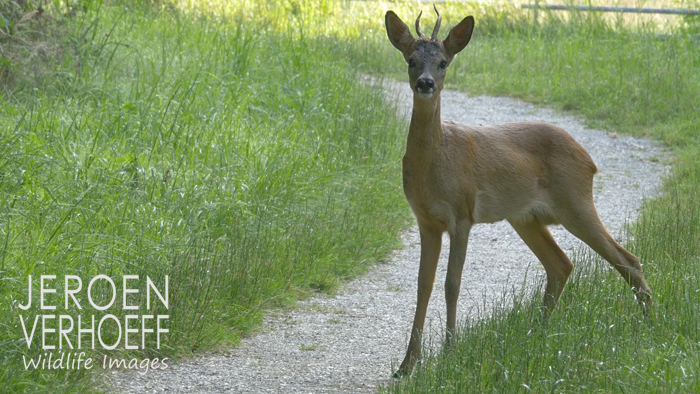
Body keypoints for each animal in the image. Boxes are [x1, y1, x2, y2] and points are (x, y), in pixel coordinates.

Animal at [386, 6, 652, 376]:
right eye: (411, 60)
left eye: (443, 62)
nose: (425, 83)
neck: (437, 162)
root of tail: (589, 159)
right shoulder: (426, 220)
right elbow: (423, 285)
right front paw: (406, 365)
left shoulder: (462, 214)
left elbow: (452, 284)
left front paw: (449, 355)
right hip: (525, 217)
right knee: (561, 264)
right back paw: (538, 332)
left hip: (575, 201)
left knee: (627, 259)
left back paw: (651, 322)